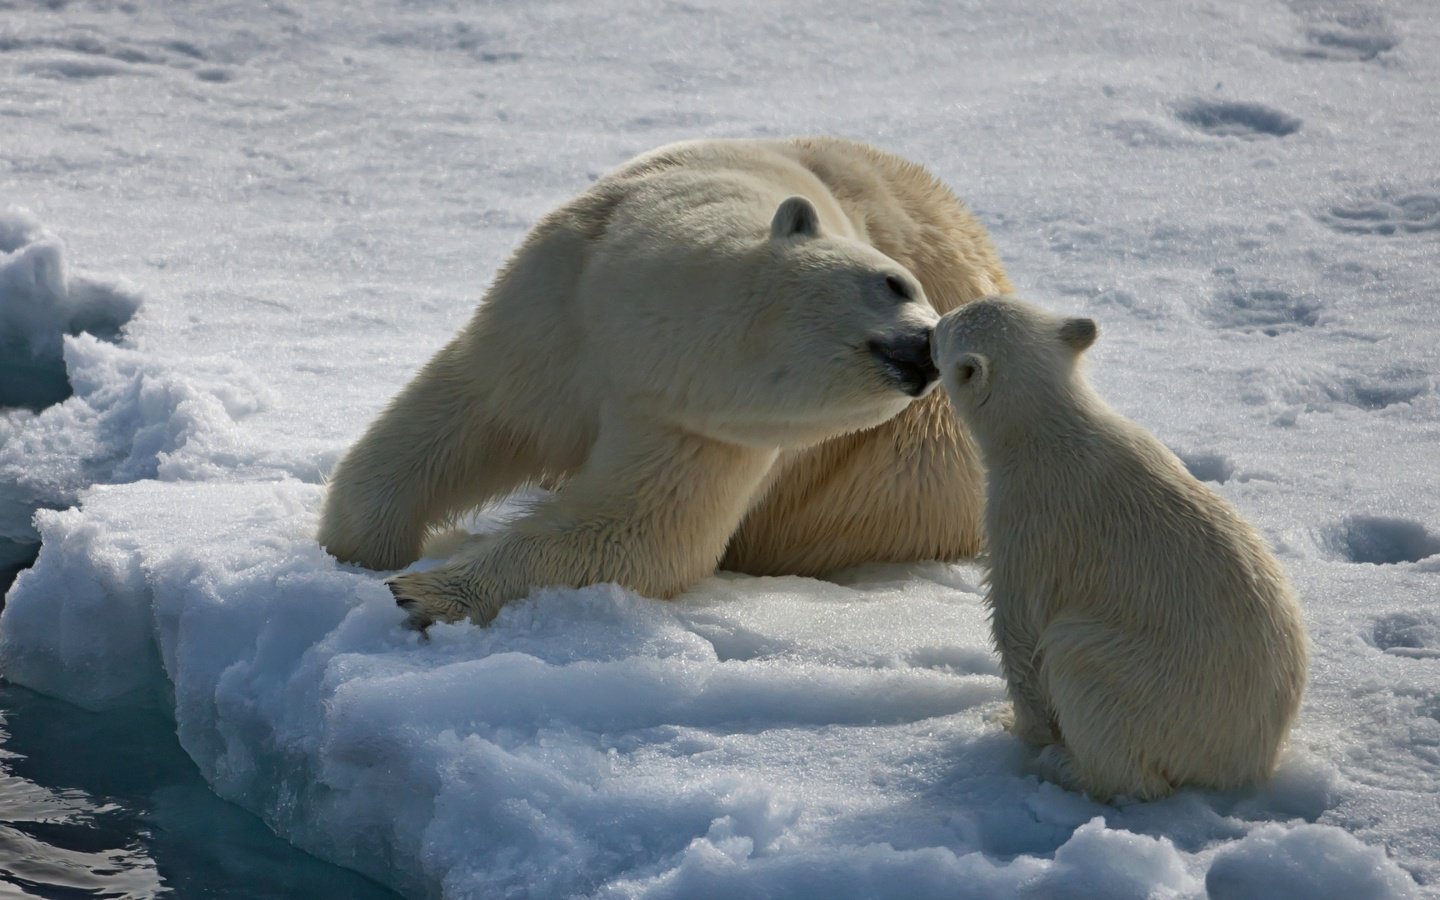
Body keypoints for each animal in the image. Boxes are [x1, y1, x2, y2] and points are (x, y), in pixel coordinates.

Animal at [319, 136, 1008, 624]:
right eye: (894, 283)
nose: (930, 349)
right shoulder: (558, 310)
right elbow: (470, 416)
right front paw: (357, 552)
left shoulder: (701, 427)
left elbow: (637, 531)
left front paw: (424, 590)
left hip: (914, 476)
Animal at [927, 298, 1313, 794]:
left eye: (948, 326)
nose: (928, 329)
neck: (1049, 430)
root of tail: (1245, 764)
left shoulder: (1027, 519)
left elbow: (1019, 627)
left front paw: (1018, 726)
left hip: (1149, 687)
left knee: (1081, 666)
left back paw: (1065, 765)